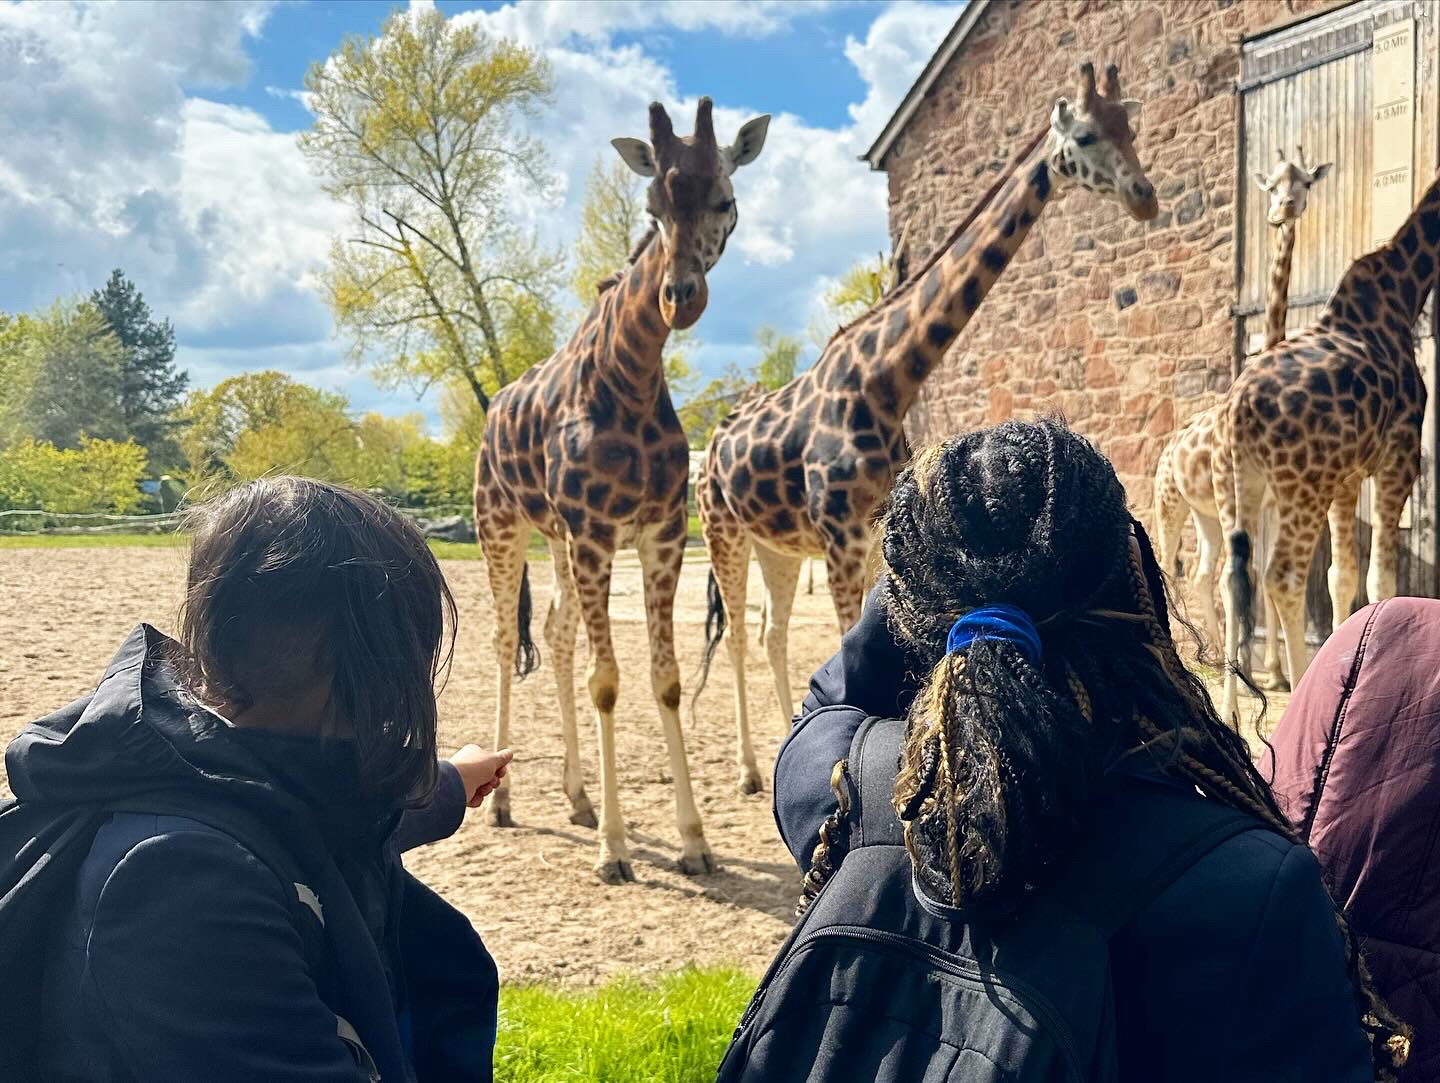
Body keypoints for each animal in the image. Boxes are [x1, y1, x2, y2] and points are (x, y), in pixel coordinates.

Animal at [475, 97, 771, 881]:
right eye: (652, 207)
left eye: (724, 198)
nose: (678, 297)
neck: (631, 380)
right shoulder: (596, 533)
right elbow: (607, 682)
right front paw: (613, 849)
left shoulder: (659, 533)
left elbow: (662, 680)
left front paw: (694, 840)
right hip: (503, 526)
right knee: (503, 641)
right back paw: (503, 803)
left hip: (554, 539)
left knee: (555, 634)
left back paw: (576, 797)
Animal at [694, 67, 1157, 794]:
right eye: (1085, 135)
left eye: (1128, 128)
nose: (1144, 197)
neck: (888, 377)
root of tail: (711, 441)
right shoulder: (840, 535)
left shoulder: (865, 532)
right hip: (722, 529)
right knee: (739, 634)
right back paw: (744, 768)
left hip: (776, 544)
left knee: (770, 632)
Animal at [1152, 148, 1330, 685]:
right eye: (1271, 184)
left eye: (1305, 182)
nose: (1284, 209)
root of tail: (1166, 451)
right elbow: (1249, 580)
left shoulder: (1268, 503)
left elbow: (1263, 582)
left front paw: (1274, 673)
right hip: (1171, 505)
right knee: (1170, 564)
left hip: (1207, 515)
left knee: (1204, 574)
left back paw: (1214, 655)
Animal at [1215, 169, 1440, 722]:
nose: (1281, 208)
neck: (1407, 288)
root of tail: (1239, 409)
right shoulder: (1398, 458)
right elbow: (1381, 582)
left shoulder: (1347, 477)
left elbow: (1343, 577)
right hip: (1303, 485)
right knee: (1283, 577)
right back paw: (1293, 695)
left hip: (1245, 485)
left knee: (1237, 576)